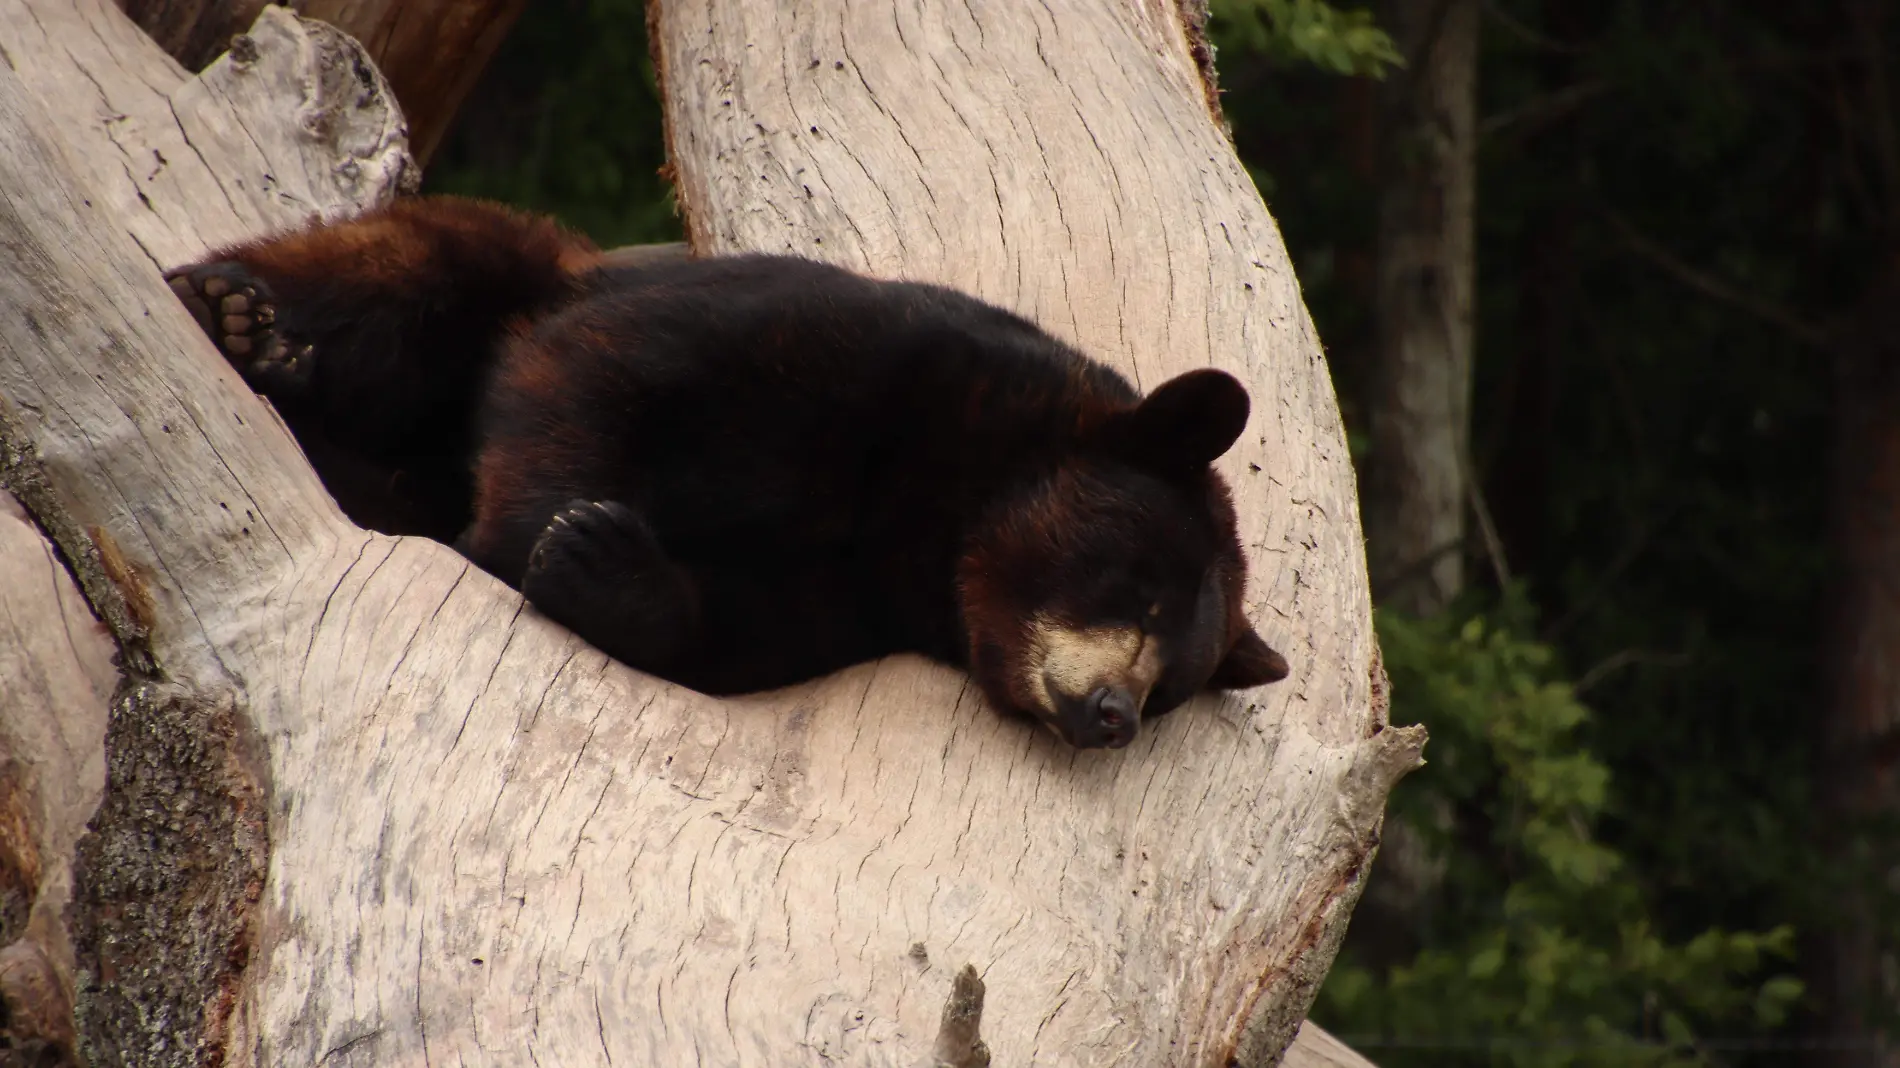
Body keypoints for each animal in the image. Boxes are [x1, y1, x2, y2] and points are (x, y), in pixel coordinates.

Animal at [167, 199, 1292, 748]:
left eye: (1173, 689)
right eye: (1140, 591)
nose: (1113, 719)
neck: (931, 509)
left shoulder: (861, 595)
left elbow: (745, 632)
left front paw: (605, 564)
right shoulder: (850, 343)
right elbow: (597, 364)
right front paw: (533, 535)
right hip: (514, 259)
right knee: (412, 270)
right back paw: (241, 315)